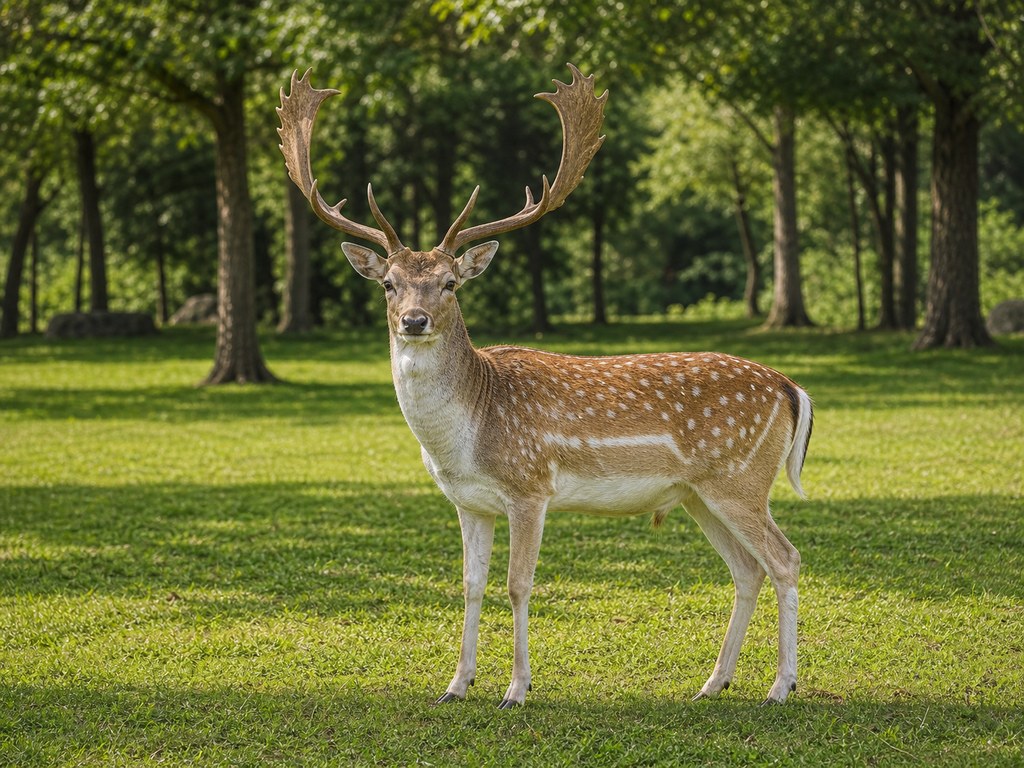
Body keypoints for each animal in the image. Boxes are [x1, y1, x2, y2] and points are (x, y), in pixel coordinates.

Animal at [278, 64, 813, 709]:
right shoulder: (468, 501)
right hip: (698, 493)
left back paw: (781, 686)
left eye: (451, 283)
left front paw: (516, 689)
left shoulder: (529, 487)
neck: (464, 436)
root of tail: (790, 387)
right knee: (746, 568)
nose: (414, 320)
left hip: (740, 480)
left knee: (785, 558)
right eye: (388, 283)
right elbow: (470, 585)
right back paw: (713, 683)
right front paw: (456, 684)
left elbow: (518, 584)